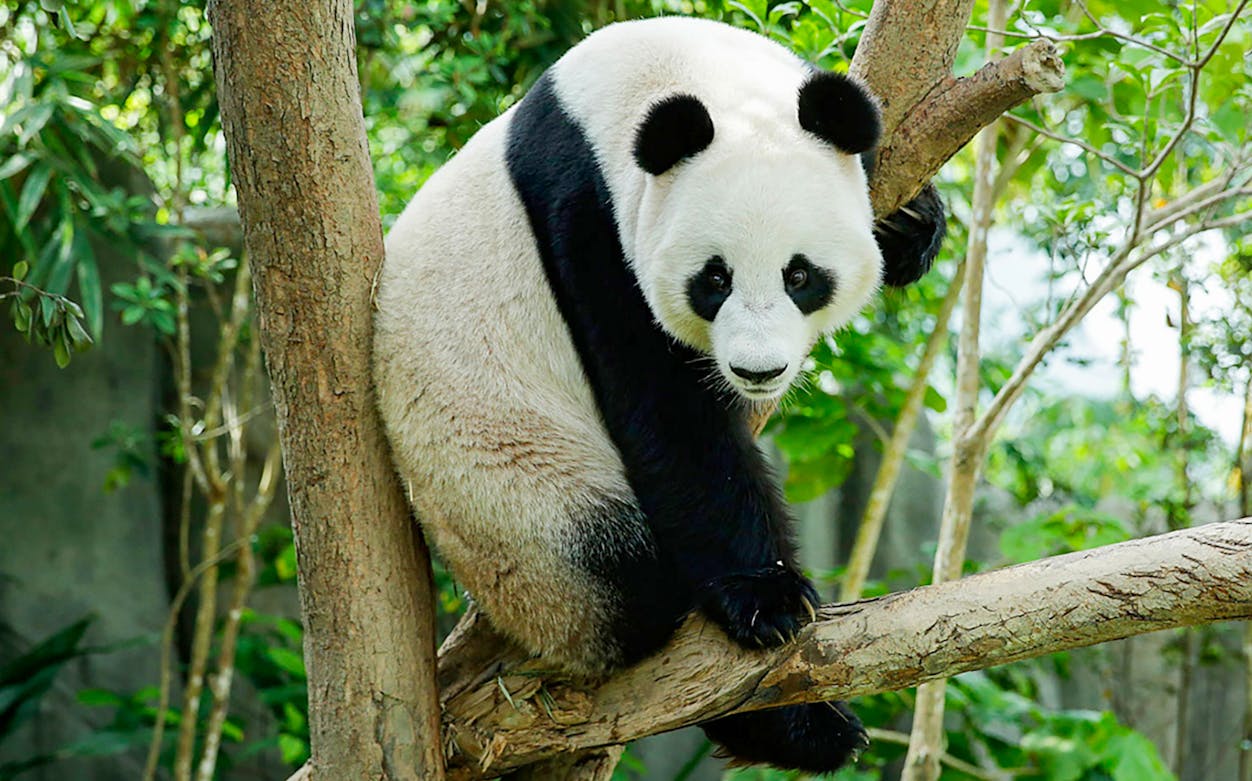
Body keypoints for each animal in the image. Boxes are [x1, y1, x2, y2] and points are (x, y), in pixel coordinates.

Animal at [374, 15, 943, 773]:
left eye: (800, 275)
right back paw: (798, 726)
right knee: (633, 592)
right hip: (523, 504)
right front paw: (769, 598)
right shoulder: (587, 222)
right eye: (714, 279)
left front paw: (910, 221)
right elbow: (668, 417)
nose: (757, 371)